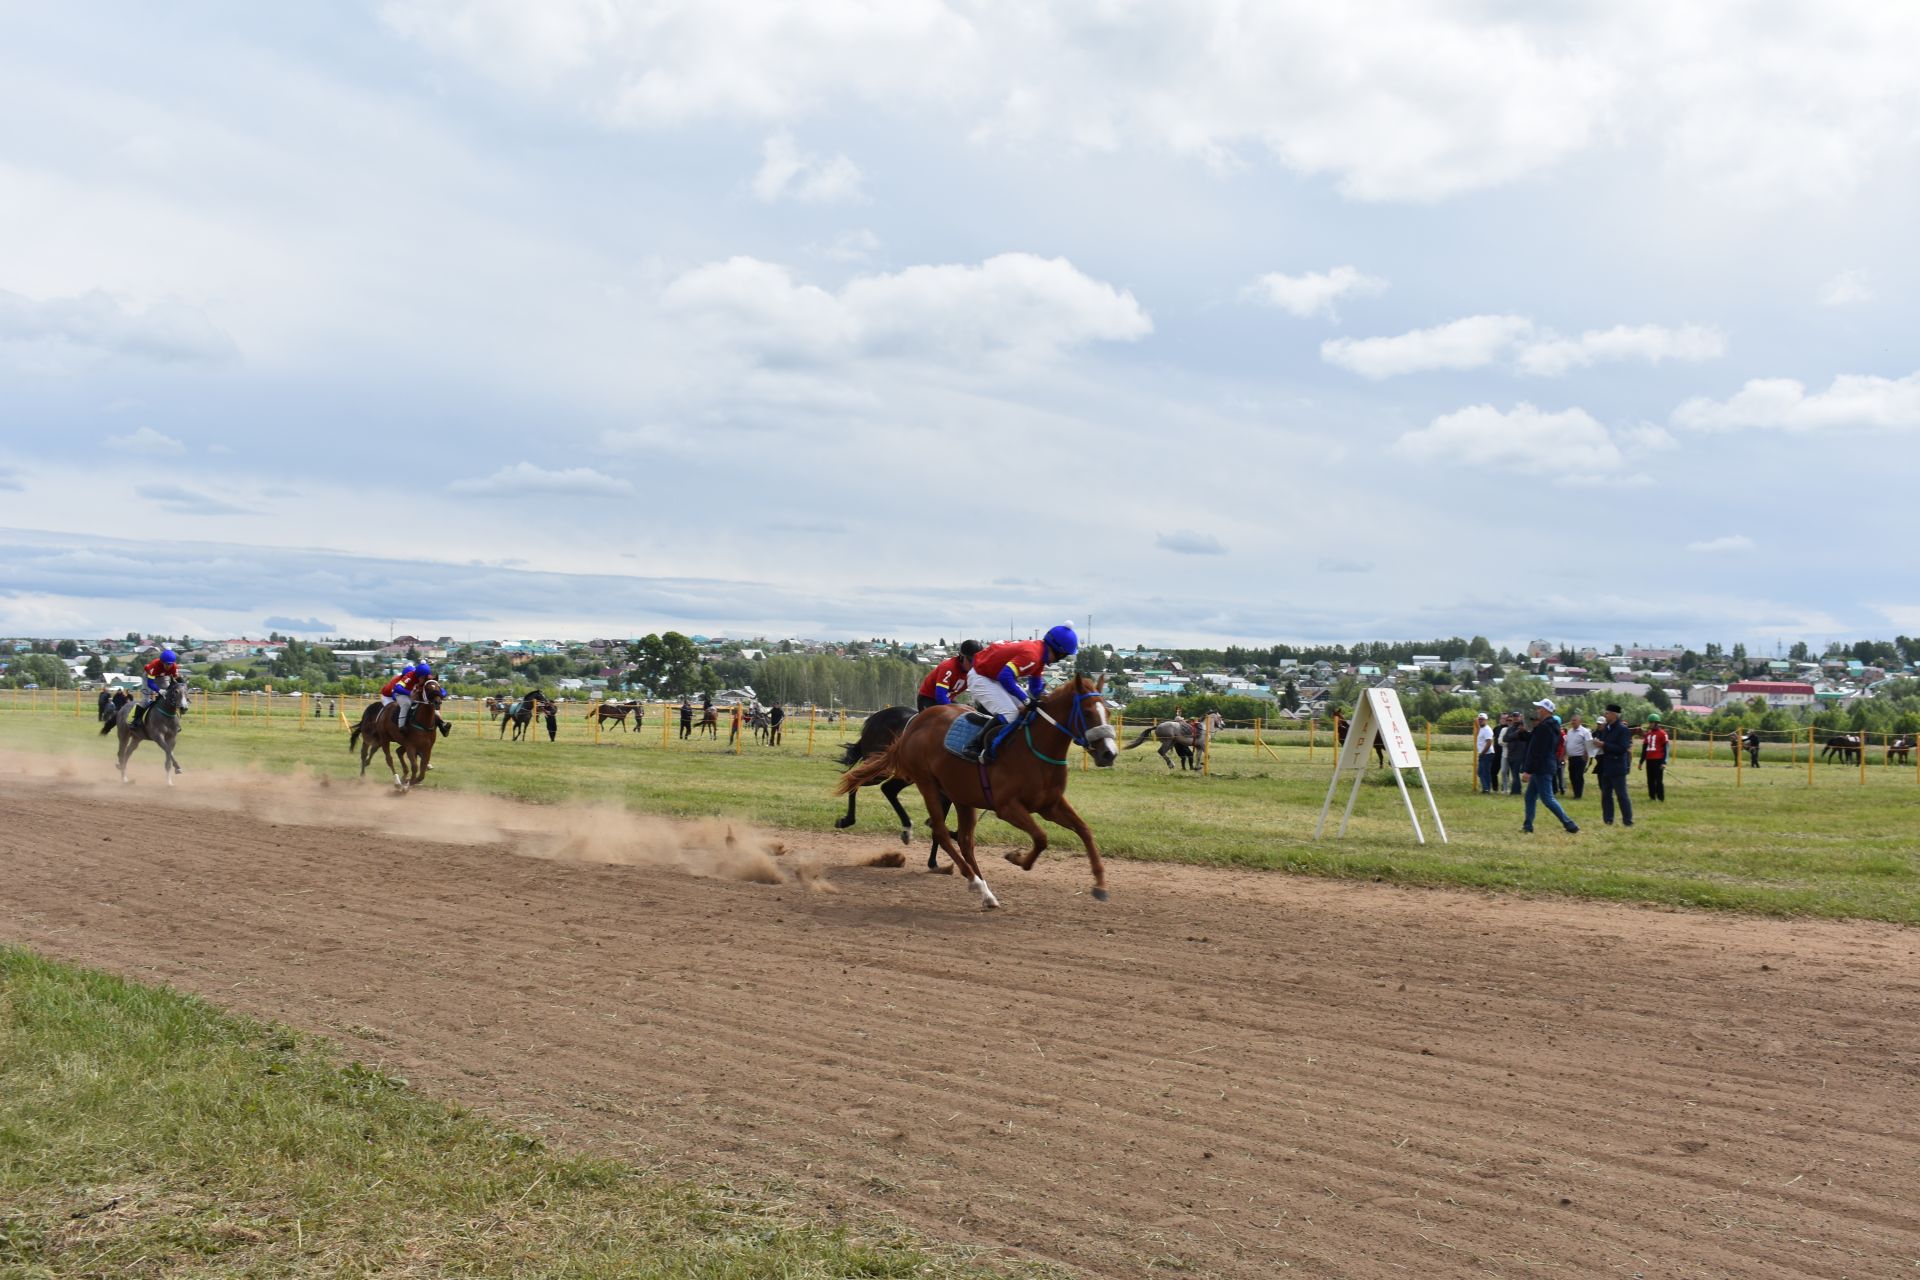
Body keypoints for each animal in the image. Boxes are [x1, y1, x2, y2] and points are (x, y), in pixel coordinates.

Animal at [833, 675, 1121, 905]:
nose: (1109, 753)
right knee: (930, 824)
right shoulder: (1008, 807)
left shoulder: (1050, 805)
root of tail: (913, 724)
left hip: (959, 794)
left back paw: (985, 891)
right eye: (1087, 712)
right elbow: (1041, 838)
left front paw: (1100, 885)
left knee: (963, 839)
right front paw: (1017, 857)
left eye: (1107, 712)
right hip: (923, 781)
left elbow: (1084, 830)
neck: (1034, 749)